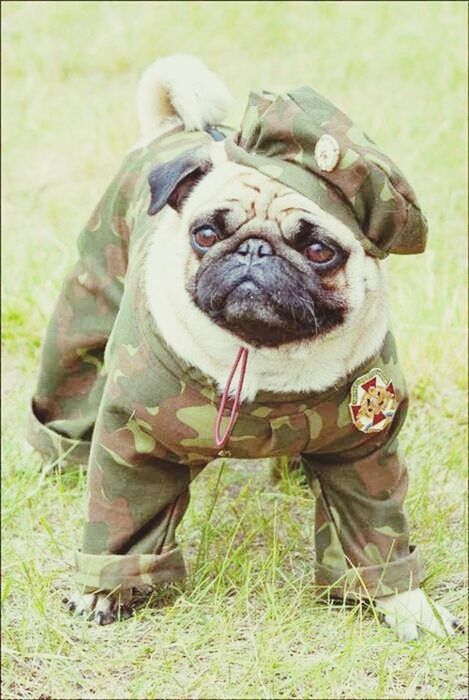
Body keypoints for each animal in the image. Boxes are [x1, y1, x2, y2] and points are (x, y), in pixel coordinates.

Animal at [30, 54, 460, 640]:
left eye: (320, 250)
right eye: (207, 234)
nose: (255, 250)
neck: (260, 356)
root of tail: (177, 128)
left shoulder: (363, 456)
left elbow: (374, 533)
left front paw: (406, 603)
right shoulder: (133, 446)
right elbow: (125, 526)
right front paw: (105, 592)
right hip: (92, 297)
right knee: (73, 376)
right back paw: (59, 459)